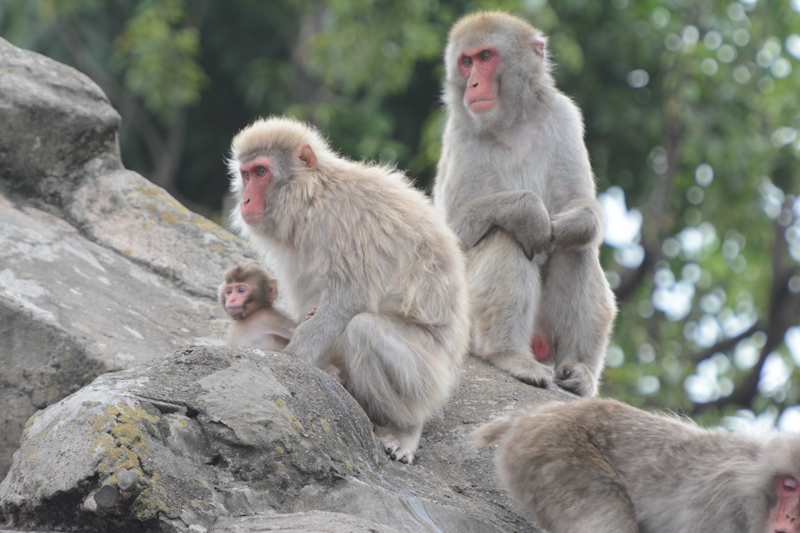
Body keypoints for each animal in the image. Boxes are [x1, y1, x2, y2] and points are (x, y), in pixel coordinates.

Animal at [225, 115, 472, 462]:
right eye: (245, 175)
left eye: (261, 173)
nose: (245, 199)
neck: (313, 194)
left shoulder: (344, 219)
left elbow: (349, 299)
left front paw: (292, 360)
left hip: (432, 379)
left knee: (365, 329)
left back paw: (406, 427)